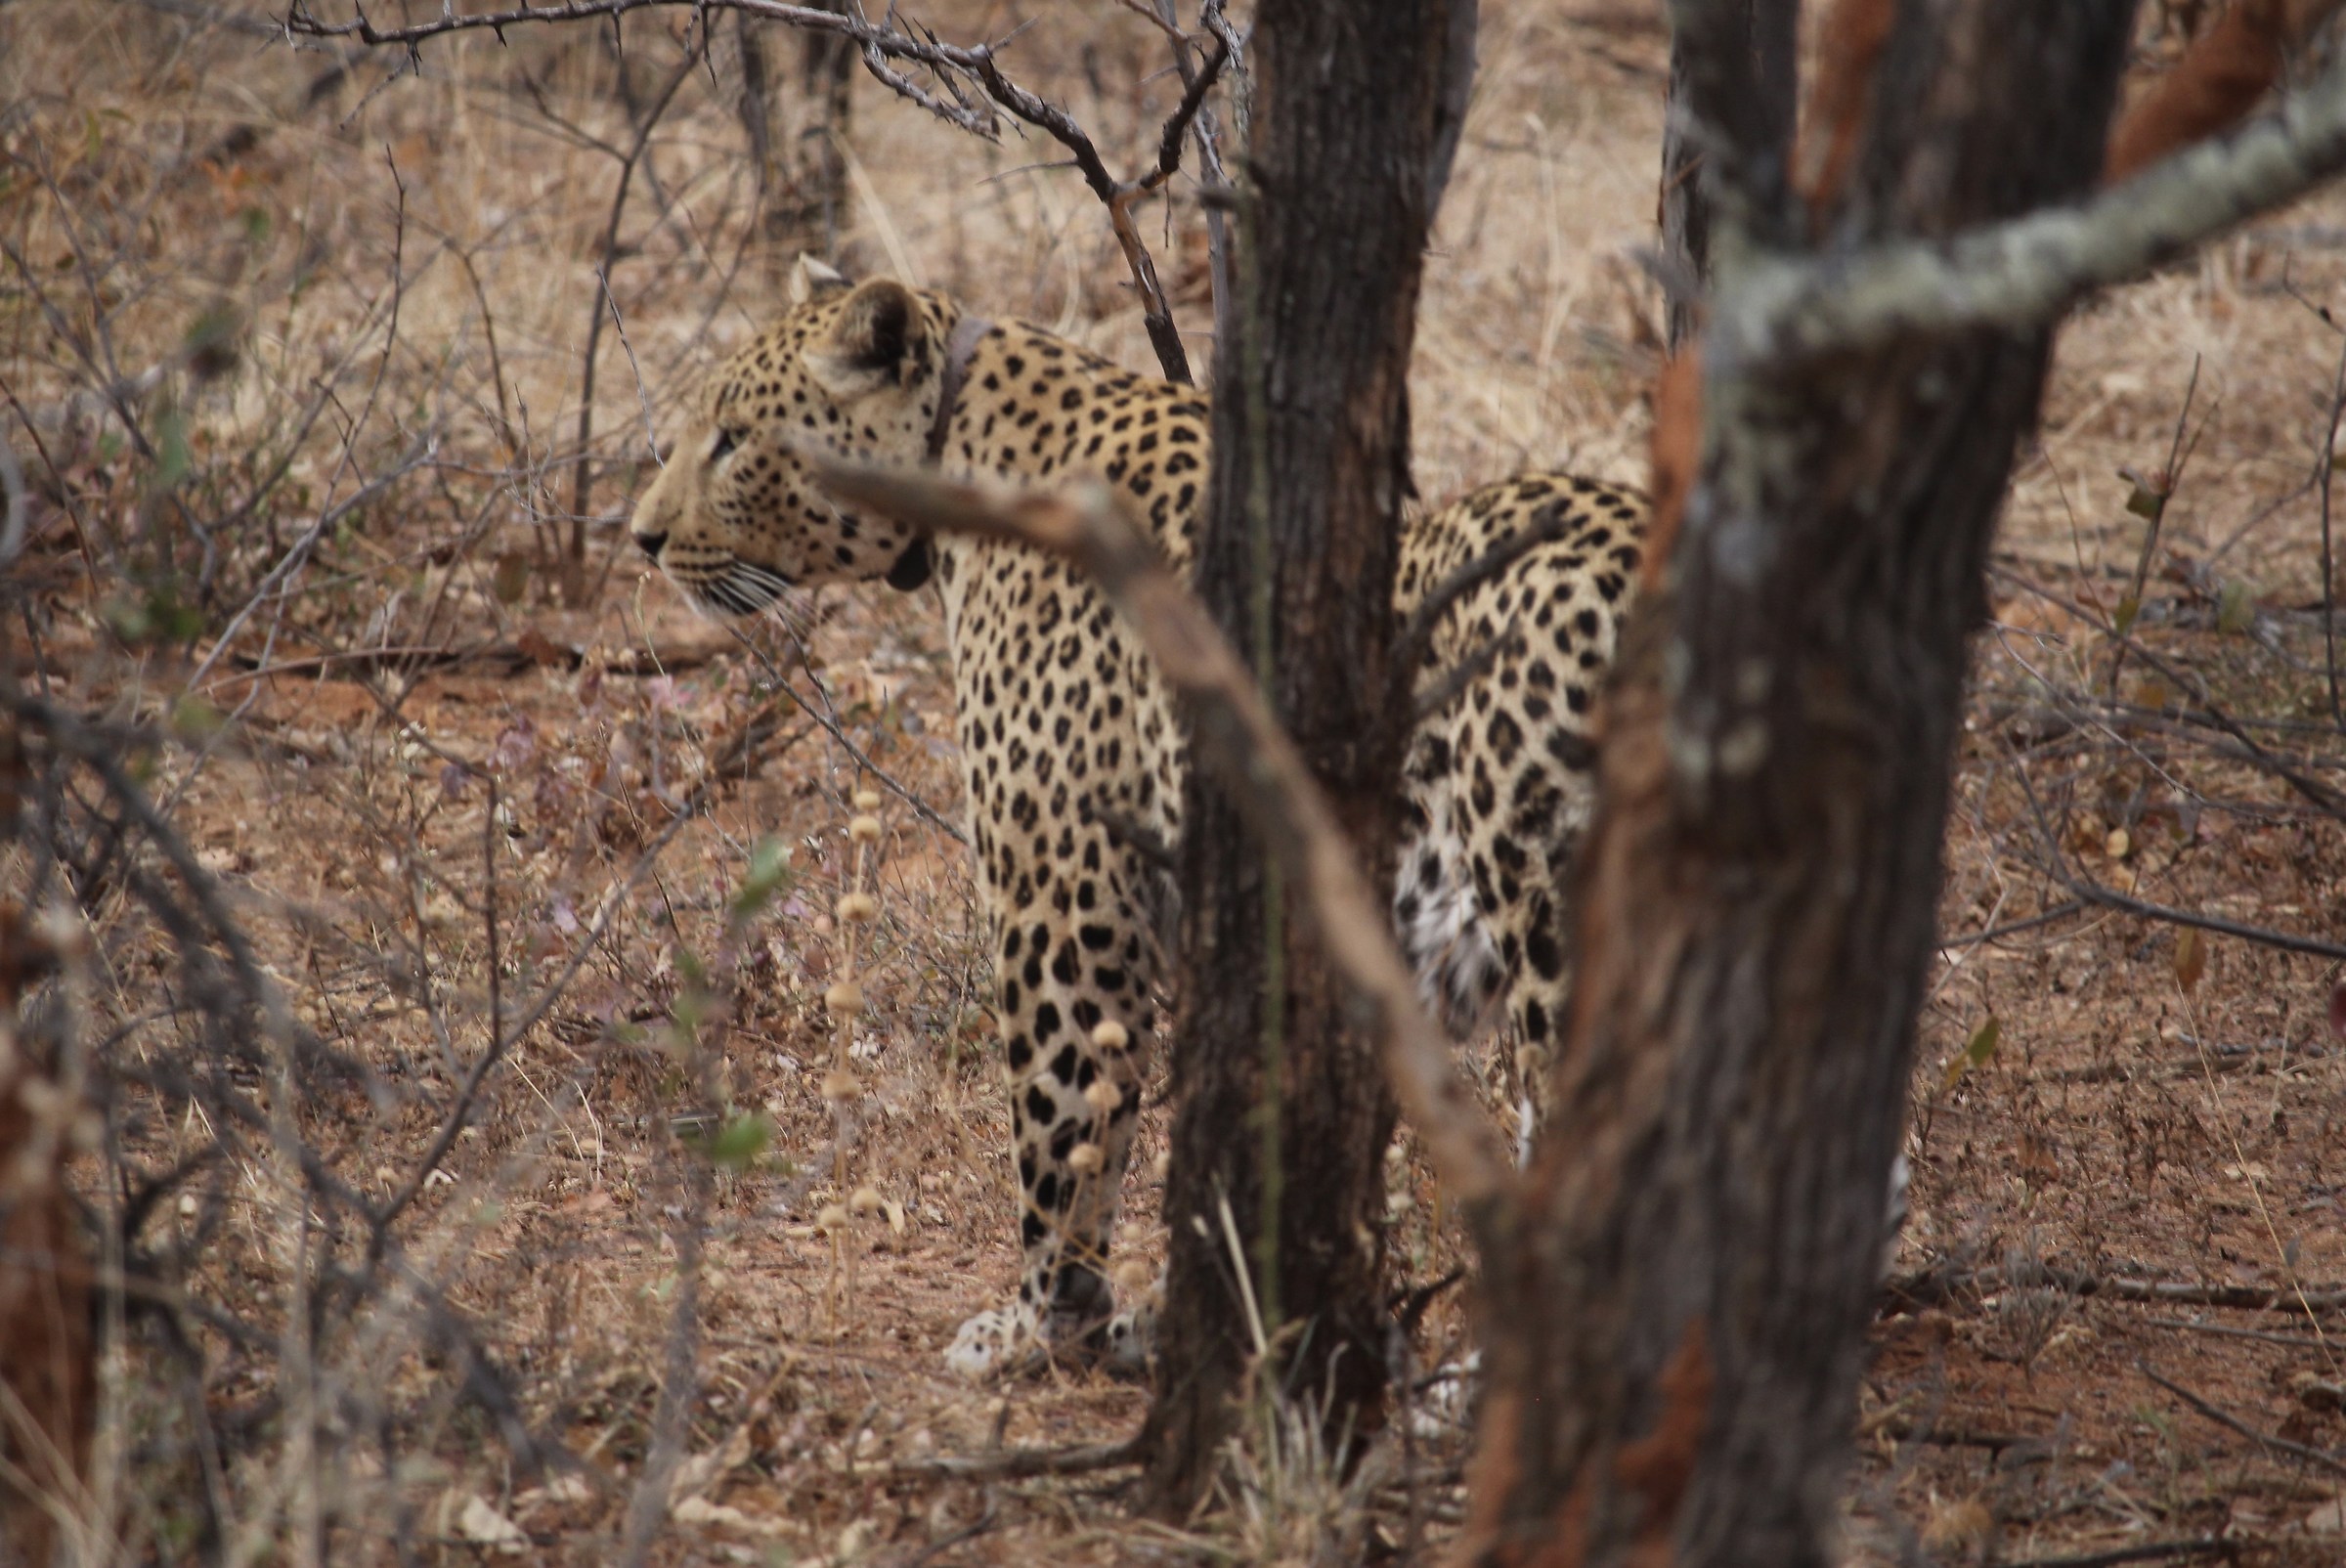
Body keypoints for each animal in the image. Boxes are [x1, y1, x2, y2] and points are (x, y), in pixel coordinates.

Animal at [629, 258, 1645, 1379]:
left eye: (732, 437)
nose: (641, 536)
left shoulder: (1063, 896)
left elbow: (1062, 1122)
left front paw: (1042, 1319)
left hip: (1548, 913)